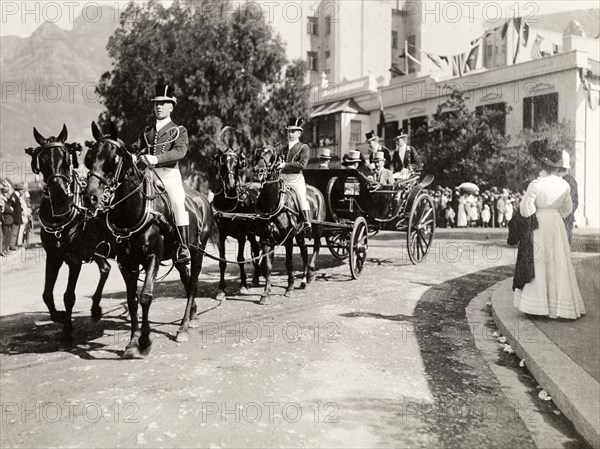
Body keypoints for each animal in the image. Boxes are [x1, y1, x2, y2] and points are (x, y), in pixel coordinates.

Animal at [24, 124, 112, 342]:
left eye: (66, 160)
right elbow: (47, 294)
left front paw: (67, 330)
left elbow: (68, 296)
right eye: (42, 162)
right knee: (105, 268)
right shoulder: (53, 256)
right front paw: (60, 317)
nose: (58, 193)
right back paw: (96, 309)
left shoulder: (74, 259)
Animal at [83, 121, 214, 356]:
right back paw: (192, 317)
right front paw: (133, 341)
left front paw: (144, 340)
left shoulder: (153, 256)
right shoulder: (126, 263)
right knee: (186, 279)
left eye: (112, 159)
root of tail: (202, 199)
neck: (133, 212)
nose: (90, 198)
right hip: (178, 257)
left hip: (197, 251)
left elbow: (145, 297)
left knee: (192, 284)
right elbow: (132, 301)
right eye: (88, 159)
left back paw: (182, 328)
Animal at [211, 127, 260, 298]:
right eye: (222, 163)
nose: (231, 185)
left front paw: (243, 285)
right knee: (257, 248)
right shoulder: (220, 234)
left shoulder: (241, 234)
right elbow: (222, 260)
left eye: (237, 163)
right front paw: (221, 289)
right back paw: (257, 277)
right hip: (252, 232)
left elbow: (240, 258)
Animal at [252, 144, 326, 304]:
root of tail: (317, 192)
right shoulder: (266, 239)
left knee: (316, 247)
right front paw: (265, 294)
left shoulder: (288, 238)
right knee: (304, 251)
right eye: (258, 153)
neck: (272, 203)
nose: (258, 170)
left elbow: (289, 263)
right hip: (300, 234)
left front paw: (289, 288)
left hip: (317, 228)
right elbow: (267, 265)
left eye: (271, 155)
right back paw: (303, 280)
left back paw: (310, 274)